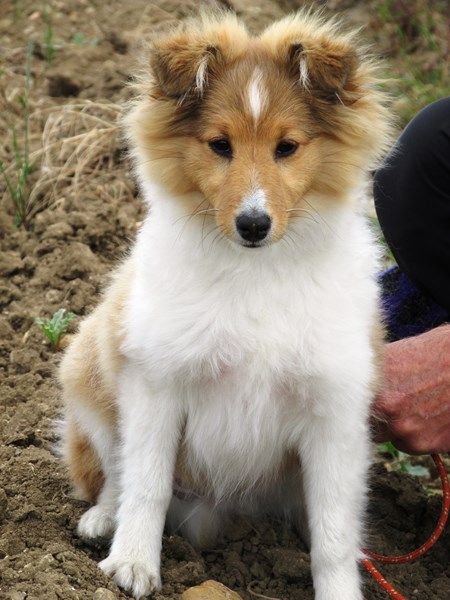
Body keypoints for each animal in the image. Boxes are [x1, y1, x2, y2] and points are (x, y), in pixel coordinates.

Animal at [60, 10, 394, 600]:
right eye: (220, 145)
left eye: (287, 147)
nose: (253, 224)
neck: (254, 273)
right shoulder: (156, 381)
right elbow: (146, 483)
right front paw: (134, 565)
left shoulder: (334, 411)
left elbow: (335, 532)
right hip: (90, 371)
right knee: (115, 475)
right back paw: (102, 521)